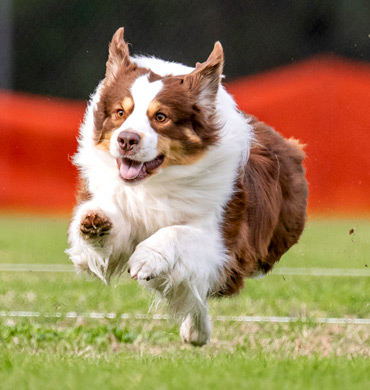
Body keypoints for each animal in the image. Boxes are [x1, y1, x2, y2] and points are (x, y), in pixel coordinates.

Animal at [66, 29, 306, 348]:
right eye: (120, 112)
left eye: (161, 117)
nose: (126, 139)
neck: (156, 183)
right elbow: (103, 242)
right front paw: (95, 221)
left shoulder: (223, 246)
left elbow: (178, 232)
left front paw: (145, 258)